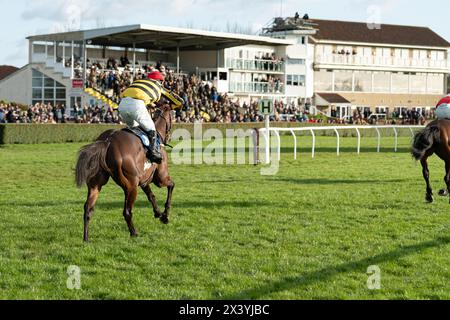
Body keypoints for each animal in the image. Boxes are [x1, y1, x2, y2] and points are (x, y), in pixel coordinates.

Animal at [75, 104, 174, 241]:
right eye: (172, 117)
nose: (169, 136)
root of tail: (107, 141)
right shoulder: (160, 178)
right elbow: (171, 185)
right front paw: (165, 215)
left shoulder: (143, 181)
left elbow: (151, 196)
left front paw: (158, 213)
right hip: (131, 186)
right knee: (127, 211)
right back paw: (134, 233)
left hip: (96, 184)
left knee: (88, 208)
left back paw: (86, 238)